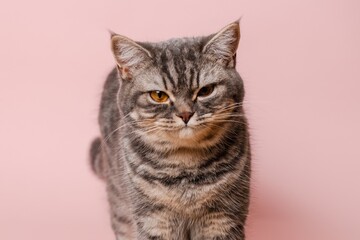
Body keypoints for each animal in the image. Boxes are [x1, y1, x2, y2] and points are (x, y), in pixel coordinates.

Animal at [89, 21, 252, 239]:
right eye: (159, 95)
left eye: (205, 91)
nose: (185, 114)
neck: (185, 165)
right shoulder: (154, 219)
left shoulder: (223, 218)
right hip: (120, 206)